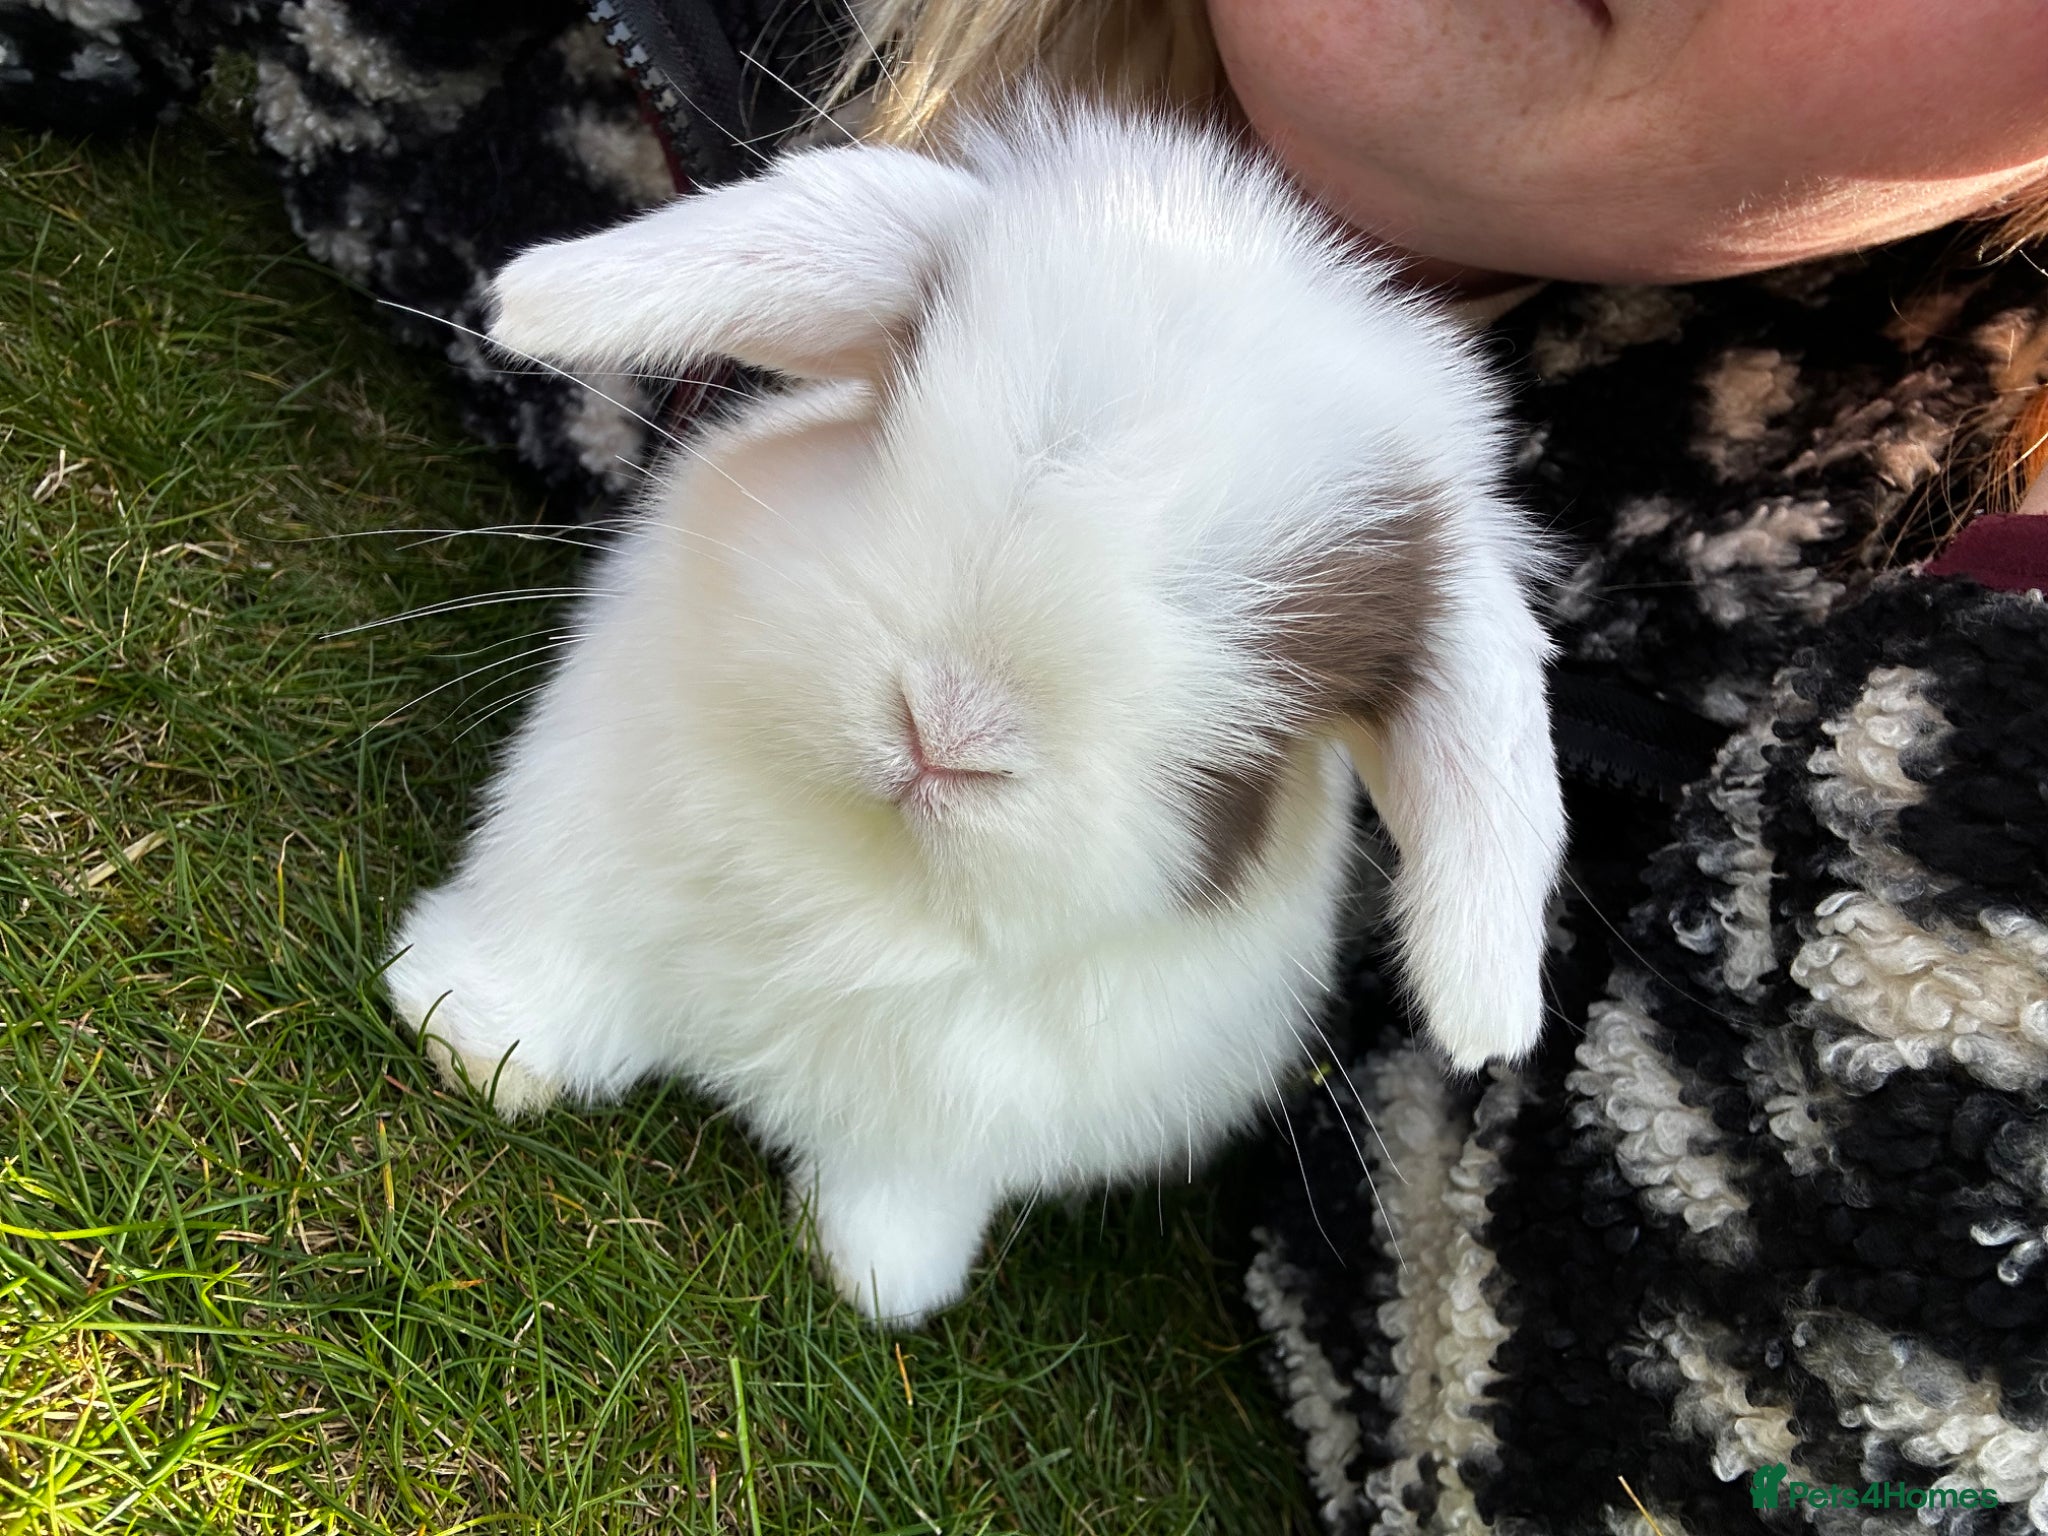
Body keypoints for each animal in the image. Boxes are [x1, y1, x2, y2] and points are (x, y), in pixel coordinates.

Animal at [383, 95, 1566, 1327]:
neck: (868, 875)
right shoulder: (576, 870)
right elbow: (545, 978)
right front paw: (460, 1033)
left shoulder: (962, 1127)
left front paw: (878, 1280)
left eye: (1283, 662)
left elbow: (907, 1190)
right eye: (899, 418)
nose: (948, 729)